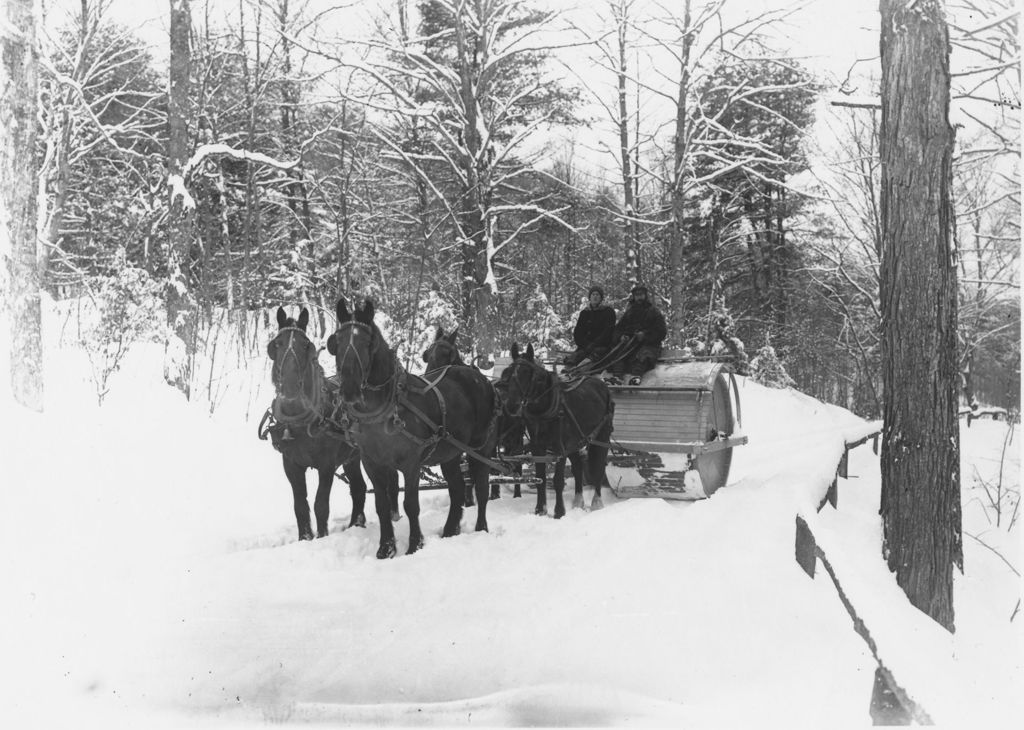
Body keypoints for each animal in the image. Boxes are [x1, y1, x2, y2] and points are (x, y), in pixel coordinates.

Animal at [264, 305, 395, 536]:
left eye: (306, 345)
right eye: (276, 344)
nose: (290, 386)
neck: (300, 421)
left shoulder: (326, 465)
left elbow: (320, 505)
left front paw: (322, 536)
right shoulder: (291, 464)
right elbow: (300, 506)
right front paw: (305, 537)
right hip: (352, 457)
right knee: (359, 487)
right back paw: (355, 524)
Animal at [327, 296, 499, 556]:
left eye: (368, 342)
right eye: (336, 342)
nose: (349, 390)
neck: (385, 410)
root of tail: (479, 377)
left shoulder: (411, 463)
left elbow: (410, 504)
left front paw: (414, 545)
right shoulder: (372, 463)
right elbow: (381, 504)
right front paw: (385, 549)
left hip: (481, 449)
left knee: (481, 487)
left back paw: (481, 528)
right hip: (450, 452)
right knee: (457, 488)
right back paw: (450, 530)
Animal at [501, 344, 610, 518]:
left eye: (527, 372)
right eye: (509, 372)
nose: (511, 405)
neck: (544, 410)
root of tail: (601, 384)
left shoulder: (559, 449)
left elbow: (558, 481)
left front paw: (559, 512)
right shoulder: (538, 448)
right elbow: (540, 478)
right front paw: (540, 510)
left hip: (602, 436)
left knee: (599, 467)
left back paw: (597, 503)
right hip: (574, 442)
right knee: (578, 467)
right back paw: (578, 501)